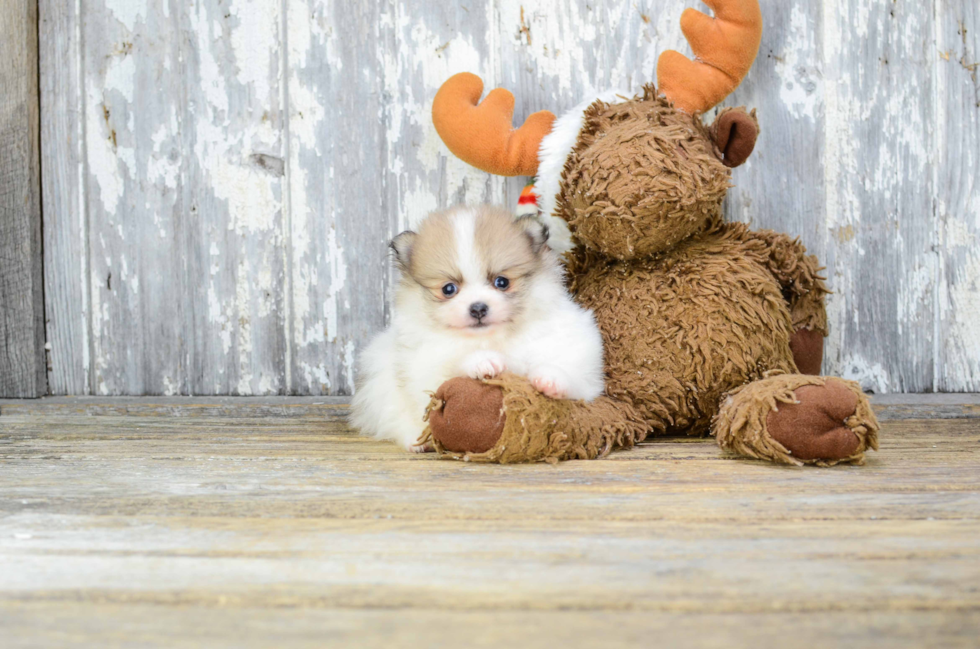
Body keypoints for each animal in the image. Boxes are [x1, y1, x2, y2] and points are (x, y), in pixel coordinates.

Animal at [352, 205, 604, 448]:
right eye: (448, 289)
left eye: (502, 282)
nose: (478, 308)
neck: (492, 338)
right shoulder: (422, 362)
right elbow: (448, 368)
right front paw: (483, 361)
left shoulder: (571, 340)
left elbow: (578, 375)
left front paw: (551, 379)